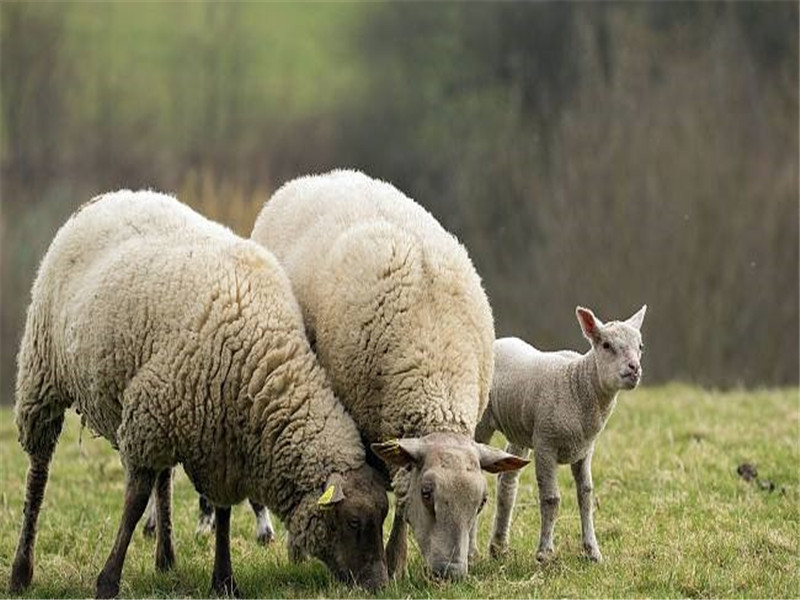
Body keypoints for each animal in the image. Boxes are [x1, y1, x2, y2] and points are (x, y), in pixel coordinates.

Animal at [8, 190, 390, 596]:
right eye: (353, 522)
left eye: (383, 515)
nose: (381, 585)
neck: (265, 362)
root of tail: (112, 195)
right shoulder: (147, 424)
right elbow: (133, 504)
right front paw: (108, 581)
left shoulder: (218, 441)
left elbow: (222, 512)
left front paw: (223, 579)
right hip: (42, 373)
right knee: (38, 474)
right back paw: (21, 571)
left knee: (163, 481)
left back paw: (166, 559)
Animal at [250, 170, 532, 580]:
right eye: (428, 494)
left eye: (481, 501)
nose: (451, 573)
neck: (435, 370)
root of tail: (320, 176)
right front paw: (391, 562)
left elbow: (398, 501)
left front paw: (395, 560)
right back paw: (295, 552)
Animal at [472, 304, 648, 564]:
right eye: (606, 345)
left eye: (640, 346)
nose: (634, 369)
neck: (578, 384)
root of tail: (499, 341)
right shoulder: (546, 444)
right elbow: (551, 499)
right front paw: (544, 553)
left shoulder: (585, 449)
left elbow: (585, 495)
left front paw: (592, 551)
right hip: (483, 422)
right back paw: (472, 551)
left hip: (520, 429)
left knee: (507, 480)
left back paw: (499, 546)